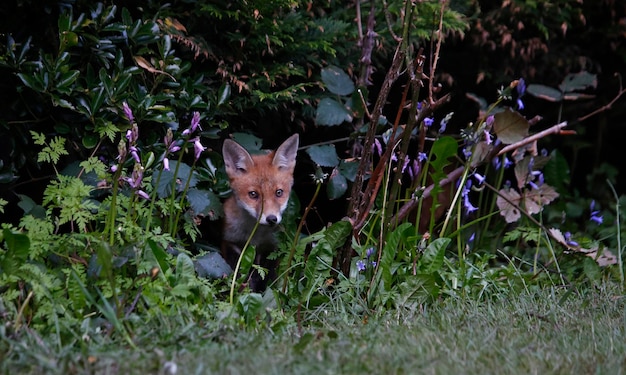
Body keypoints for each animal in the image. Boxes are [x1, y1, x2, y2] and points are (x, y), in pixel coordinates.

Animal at [221, 134, 298, 292]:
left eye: (279, 192)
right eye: (253, 194)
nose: (271, 219)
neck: (255, 235)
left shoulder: (270, 248)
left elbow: (267, 277)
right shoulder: (230, 243)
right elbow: (240, 275)